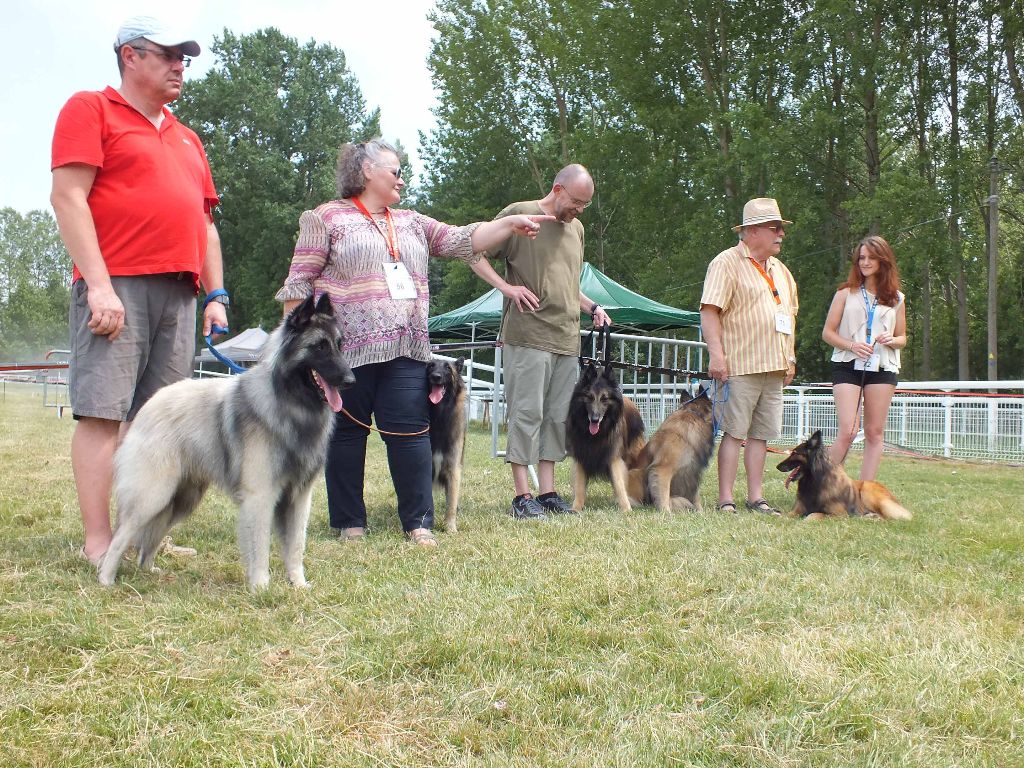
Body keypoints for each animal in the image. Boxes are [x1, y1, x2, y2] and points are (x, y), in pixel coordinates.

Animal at [98, 292, 356, 589]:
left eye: (339, 345)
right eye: (319, 347)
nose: (351, 380)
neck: (290, 402)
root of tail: (149, 405)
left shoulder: (299, 497)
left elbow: (295, 546)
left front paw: (299, 585)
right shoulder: (260, 496)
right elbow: (260, 547)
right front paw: (261, 588)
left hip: (181, 499)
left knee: (149, 539)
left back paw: (149, 571)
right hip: (153, 495)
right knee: (121, 536)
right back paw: (105, 578)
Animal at [774, 434, 913, 524]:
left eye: (794, 453)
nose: (777, 466)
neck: (815, 482)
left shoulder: (840, 515)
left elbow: (815, 514)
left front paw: (805, 520)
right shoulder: (796, 511)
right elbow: (785, 515)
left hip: (867, 491)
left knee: (885, 516)